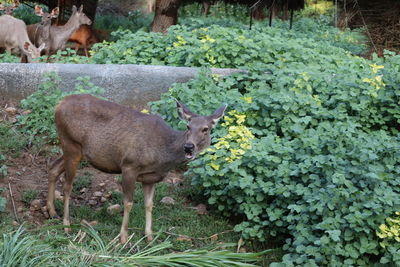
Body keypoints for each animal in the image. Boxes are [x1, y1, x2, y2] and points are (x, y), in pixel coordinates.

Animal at [46, 94, 227, 245]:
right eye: (188, 126)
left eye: (206, 129)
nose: (189, 146)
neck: (162, 156)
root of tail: (58, 105)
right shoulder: (129, 165)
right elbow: (128, 203)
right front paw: (123, 238)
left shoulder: (151, 178)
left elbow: (149, 204)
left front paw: (150, 237)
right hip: (71, 143)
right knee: (67, 185)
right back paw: (66, 225)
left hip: (75, 150)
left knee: (53, 168)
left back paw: (52, 212)